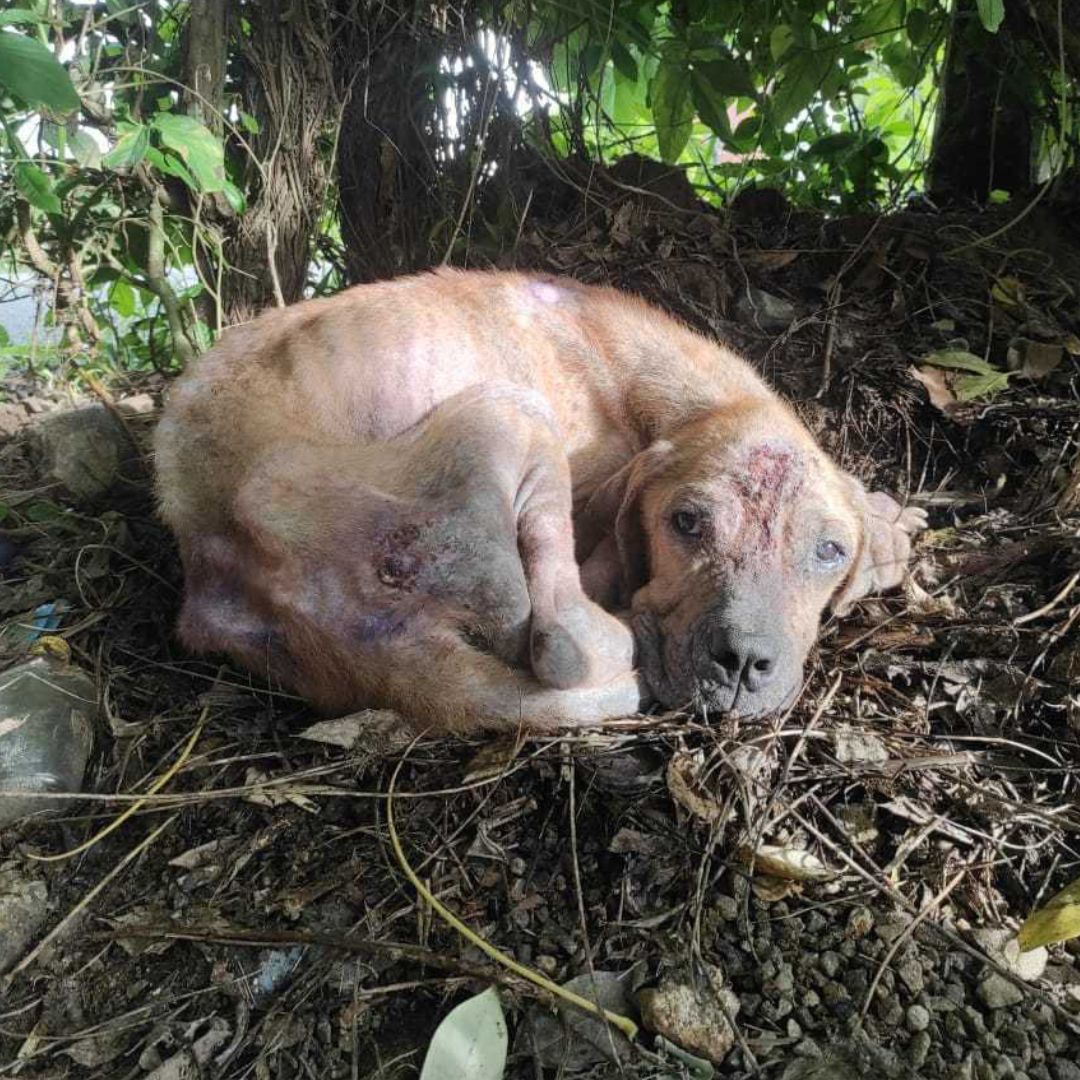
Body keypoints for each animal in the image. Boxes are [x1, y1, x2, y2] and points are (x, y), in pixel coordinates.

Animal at [154, 267, 928, 734]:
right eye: (686, 523)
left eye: (829, 552)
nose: (740, 664)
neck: (699, 400)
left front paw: (890, 523)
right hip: (506, 413)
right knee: (562, 643)